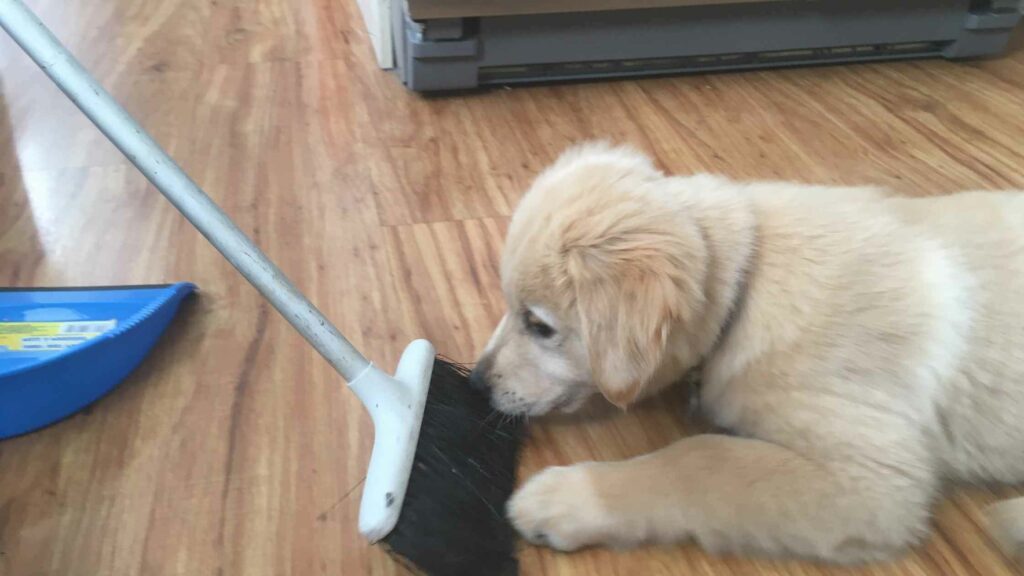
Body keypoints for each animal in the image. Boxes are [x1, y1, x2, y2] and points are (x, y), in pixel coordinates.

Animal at [471, 142, 1024, 561]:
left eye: (539, 325)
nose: (474, 384)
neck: (748, 281)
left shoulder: (875, 482)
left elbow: (701, 457)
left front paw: (562, 499)